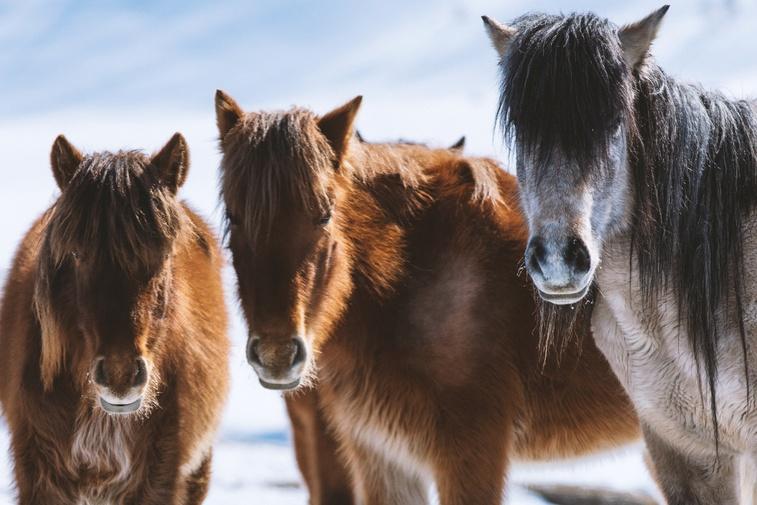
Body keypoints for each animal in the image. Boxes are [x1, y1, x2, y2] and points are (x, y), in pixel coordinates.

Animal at [215, 89, 639, 504]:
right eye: (234, 217)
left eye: (325, 215)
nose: (276, 355)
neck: (411, 276)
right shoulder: (382, 457)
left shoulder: (471, 453)